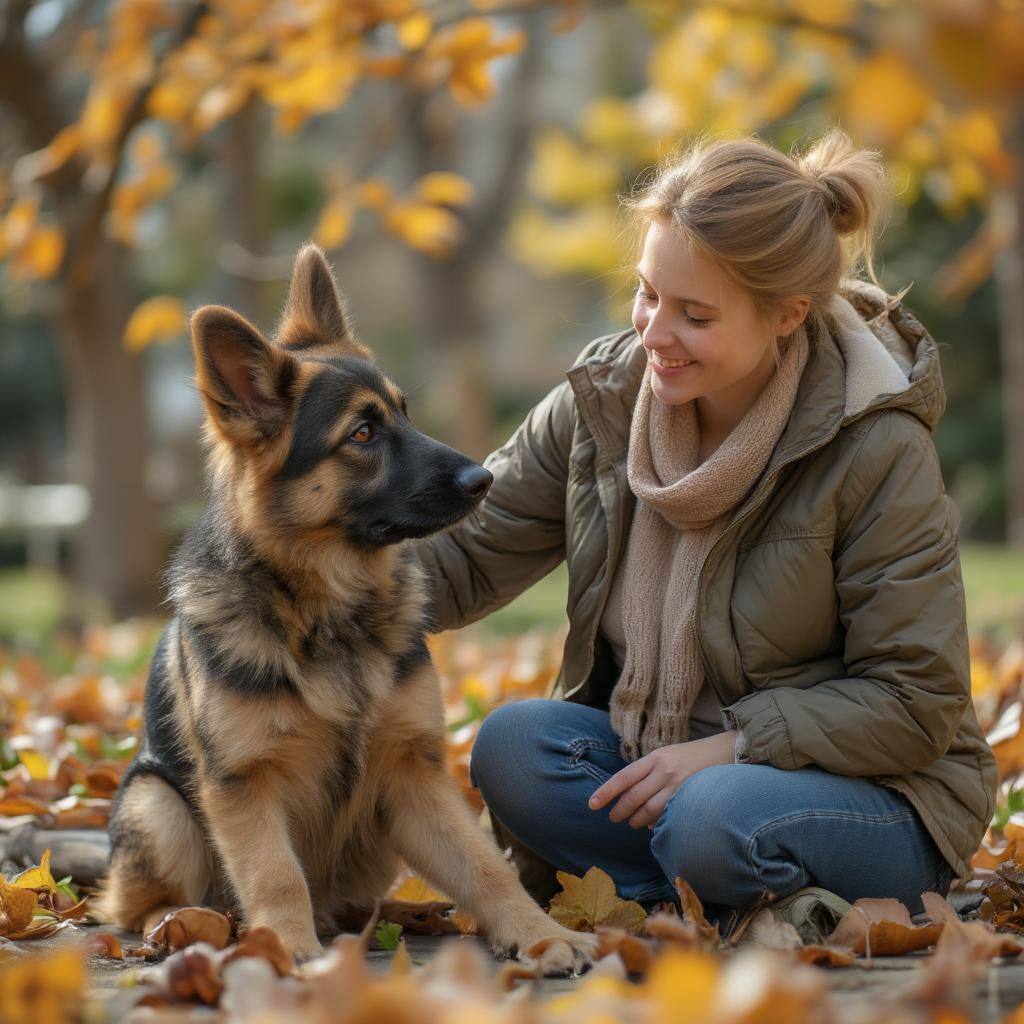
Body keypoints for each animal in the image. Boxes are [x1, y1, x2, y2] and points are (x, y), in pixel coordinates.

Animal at [99, 243, 598, 970]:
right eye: (362, 433)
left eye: (406, 413)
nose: (485, 480)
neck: (327, 612)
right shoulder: (244, 788)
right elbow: (275, 873)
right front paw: (288, 949)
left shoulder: (414, 775)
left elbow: (483, 866)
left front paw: (540, 933)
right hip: (156, 803)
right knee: (131, 907)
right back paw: (177, 922)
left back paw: (403, 914)